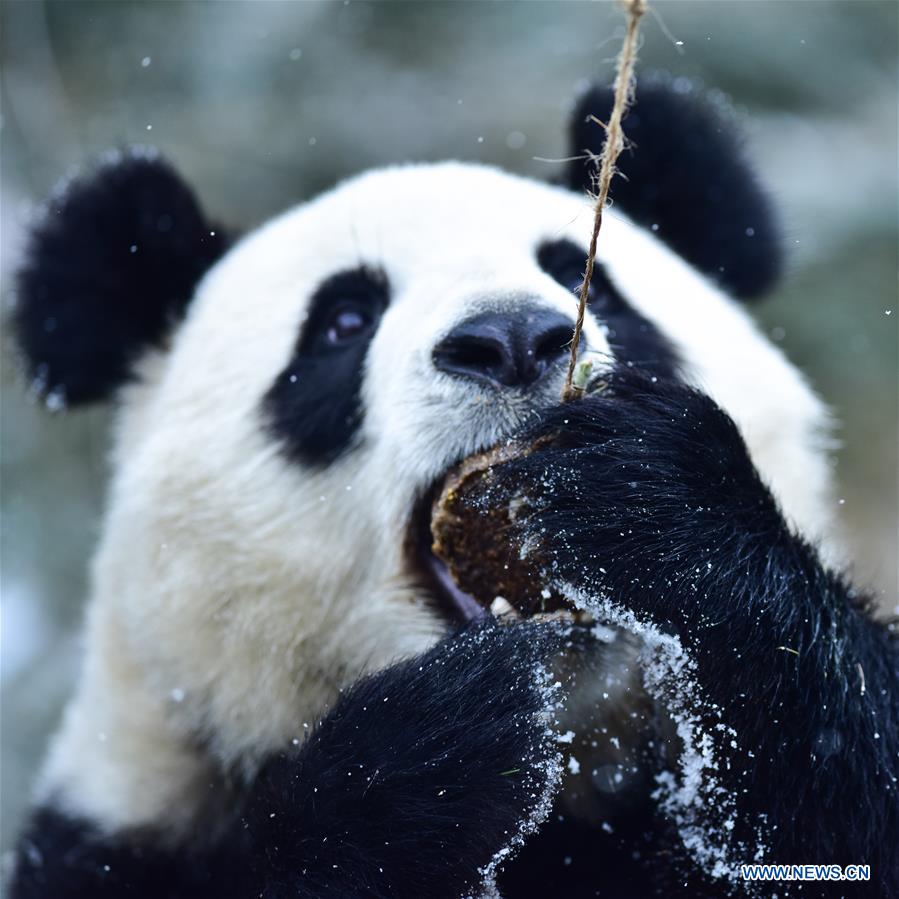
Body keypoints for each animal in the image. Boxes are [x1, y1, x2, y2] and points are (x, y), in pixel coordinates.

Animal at [7, 80, 898, 899]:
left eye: (589, 280)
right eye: (343, 321)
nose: (514, 337)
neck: (571, 789)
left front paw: (653, 501)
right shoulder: (116, 827)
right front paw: (425, 759)